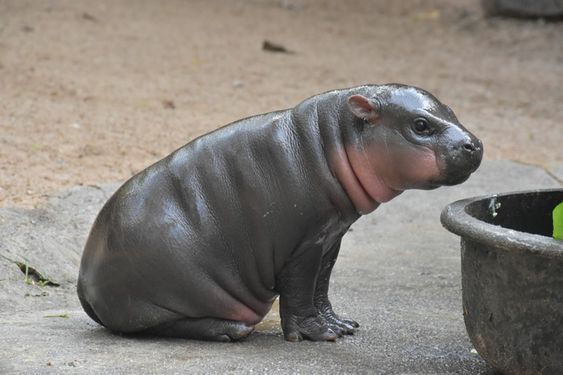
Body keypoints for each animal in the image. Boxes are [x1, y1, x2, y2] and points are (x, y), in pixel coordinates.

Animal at [78, 83, 484, 342]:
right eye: (420, 125)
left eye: (451, 110)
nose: (475, 144)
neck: (331, 140)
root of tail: (83, 279)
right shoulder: (302, 246)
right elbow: (301, 290)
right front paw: (317, 335)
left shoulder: (329, 238)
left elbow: (321, 287)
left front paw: (341, 326)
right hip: (166, 291)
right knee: (154, 326)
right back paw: (230, 330)